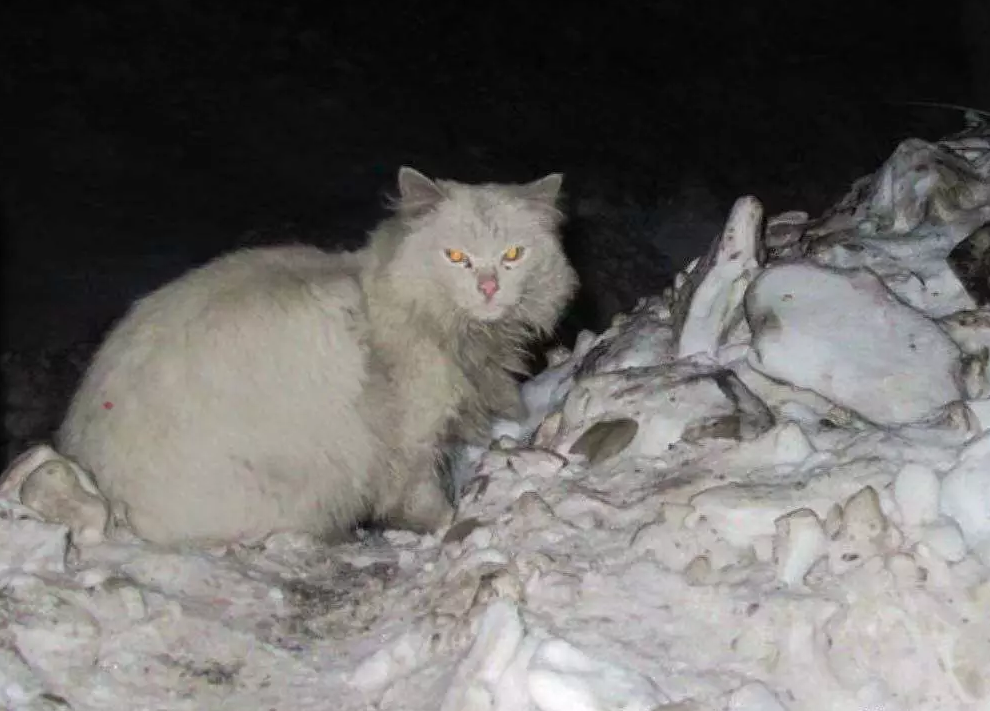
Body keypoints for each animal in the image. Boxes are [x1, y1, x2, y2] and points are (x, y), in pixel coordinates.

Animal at [56, 167, 580, 544]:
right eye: (456, 257)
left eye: (513, 254)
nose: (488, 287)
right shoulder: (411, 441)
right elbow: (421, 499)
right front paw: (444, 524)